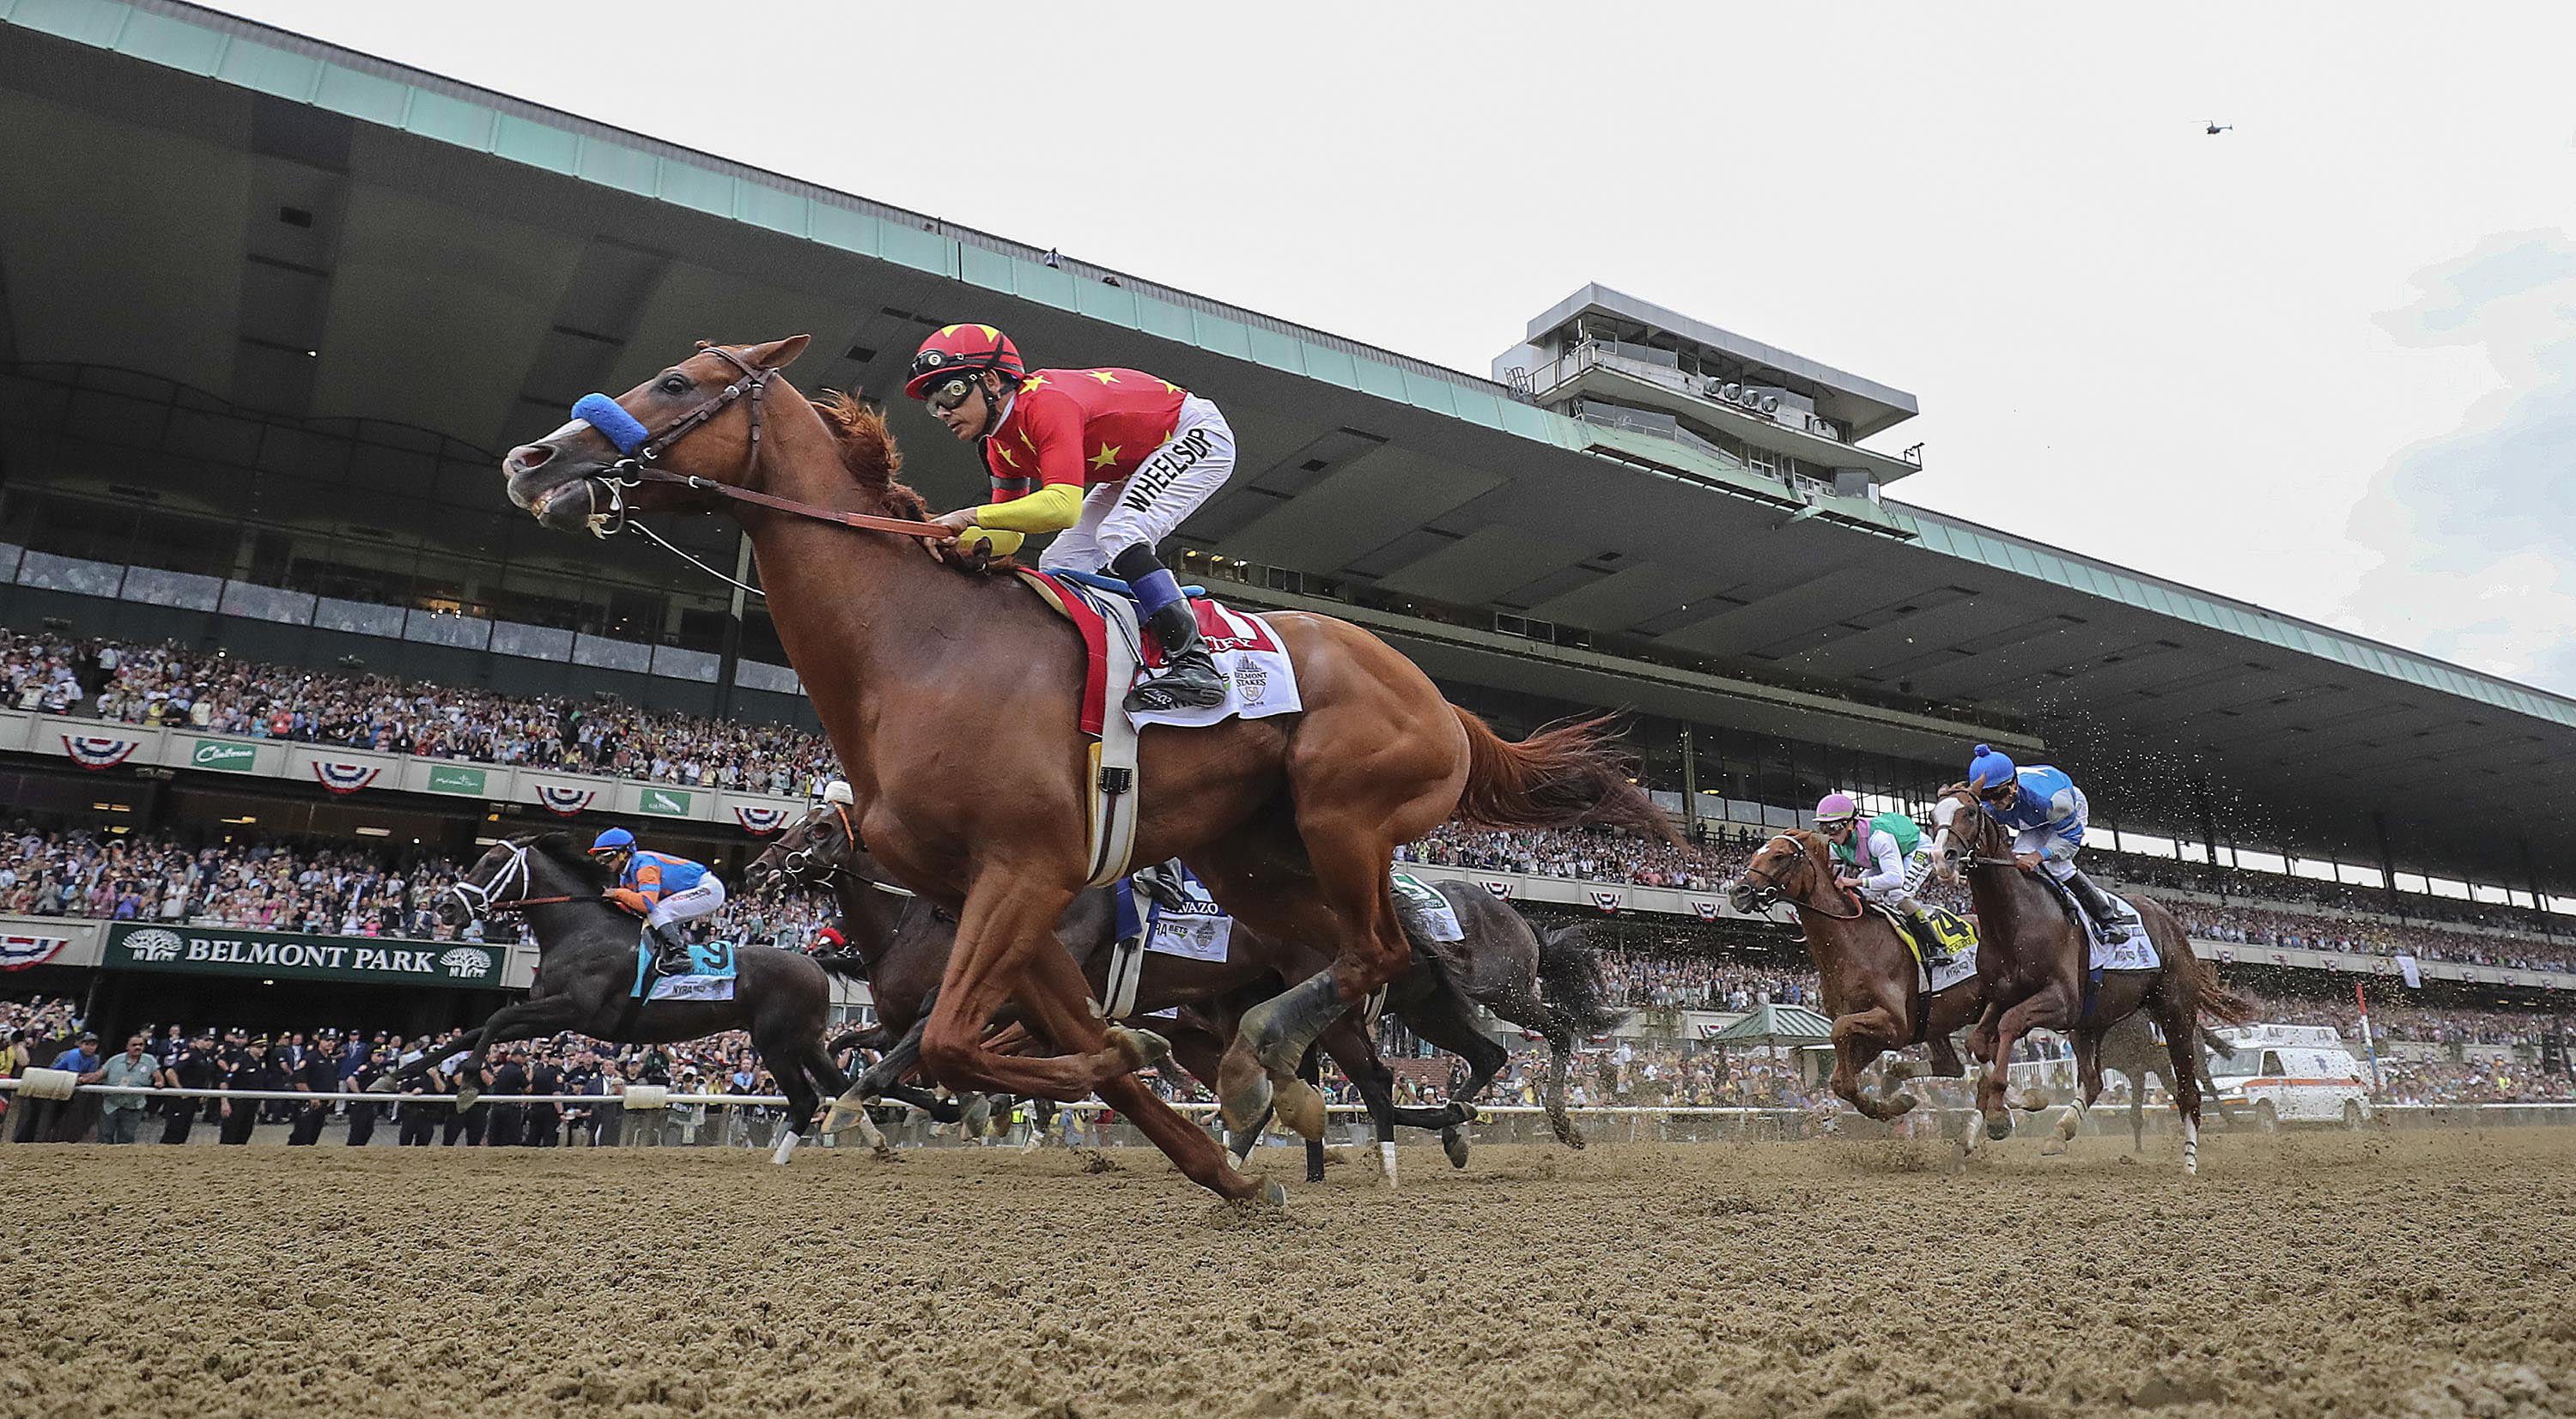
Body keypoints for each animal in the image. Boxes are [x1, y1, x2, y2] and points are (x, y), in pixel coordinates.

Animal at [425, 840, 886, 1159]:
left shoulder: (571, 1009)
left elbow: (496, 1019)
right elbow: (475, 1032)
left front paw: (468, 1084)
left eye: (490, 862)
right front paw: (412, 1071)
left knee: (807, 1098)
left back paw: (780, 1159)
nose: (445, 909)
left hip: (777, 1044)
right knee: (840, 1086)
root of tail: (812, 962)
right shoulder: (552, 1016)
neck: (582, 931)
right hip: (804, 1041)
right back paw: (874, 1140)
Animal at [502, 340, 1669, 1205]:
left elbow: (956, 1045)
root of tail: (1448, 702)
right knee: (1357, 972)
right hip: (1255, 860)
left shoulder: (1025, 872)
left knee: (1386, 963)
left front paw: (1106, 1073)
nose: (530, 459)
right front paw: (1198, 1150)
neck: (919, 644)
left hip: (1345, 818)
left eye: (675, 383)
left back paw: (1300, 1074)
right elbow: (995, 1042)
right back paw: (1271, 1088)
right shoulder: (1008, 894)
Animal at [1731, 834, 1989, 1123]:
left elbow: (1838, 1029)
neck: (1854, 945)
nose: (1738, 892)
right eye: (1756, 853)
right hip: (1938, 1019)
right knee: (1952, 1065)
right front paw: (1893, 1104)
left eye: (1779, 856)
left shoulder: (1895, 1026)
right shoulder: (1882, 1035)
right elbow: (1840, 1081)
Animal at [1927, 788, 2246, 1179]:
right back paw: (2060, 1132)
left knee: (2190, 1090)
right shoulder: (2003, 996)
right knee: (2095, 1082)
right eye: (1932, 815)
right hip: (2092, 1021)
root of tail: (2172, 923)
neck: (2015, 917)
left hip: (2175, 1015)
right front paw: (2016, 1104)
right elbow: (1977, 1042)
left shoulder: (2061, 1002)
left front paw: (2003, 1112)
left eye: (1970, 812)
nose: (1941, 858)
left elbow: (2009, 1026)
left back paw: (2190, 1158)